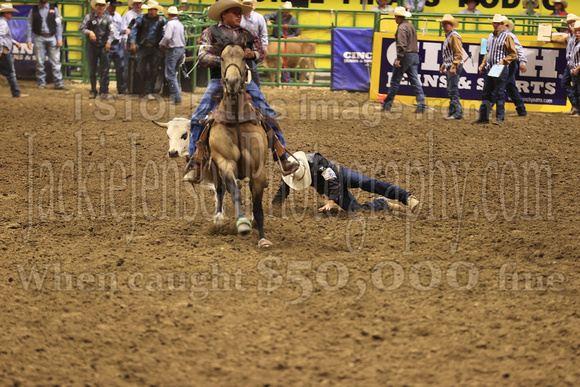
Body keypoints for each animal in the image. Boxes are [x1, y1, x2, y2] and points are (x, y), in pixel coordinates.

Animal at [205, 37, 274, 249]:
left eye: (244, 57)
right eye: (221, 57)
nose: (233, 82)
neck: (235, 119)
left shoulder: (257, 169)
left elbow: (258, 206)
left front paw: (262, 237)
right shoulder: (225, 162)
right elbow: (234, 191)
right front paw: (242, 223)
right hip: (215, 167)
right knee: (221, 188)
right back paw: (219, 217)